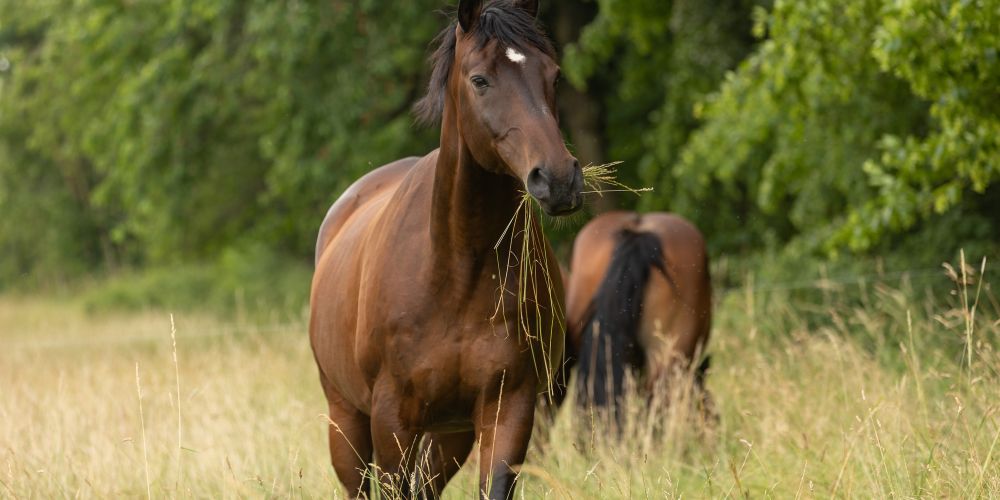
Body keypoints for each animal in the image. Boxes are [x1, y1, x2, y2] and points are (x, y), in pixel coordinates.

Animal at [309, 1, 582, 498]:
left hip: (448, 434)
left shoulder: (508, 409)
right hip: (347, 419)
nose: (558, 179)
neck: (456, 270)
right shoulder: (392, 418)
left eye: (554, 76)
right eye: (480, 80)